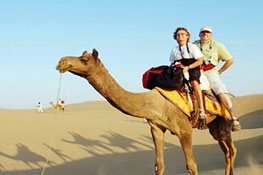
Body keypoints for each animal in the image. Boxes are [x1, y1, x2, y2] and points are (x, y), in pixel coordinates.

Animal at [55, 49, 237, 175]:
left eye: (84, 59)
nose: (61, 61)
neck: (155, 103)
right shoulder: (156, 128)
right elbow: (159, 165)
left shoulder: (184, 129)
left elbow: (191, 166)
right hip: (213, 126)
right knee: (226, 150)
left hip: (223, 121)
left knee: (231, 150)